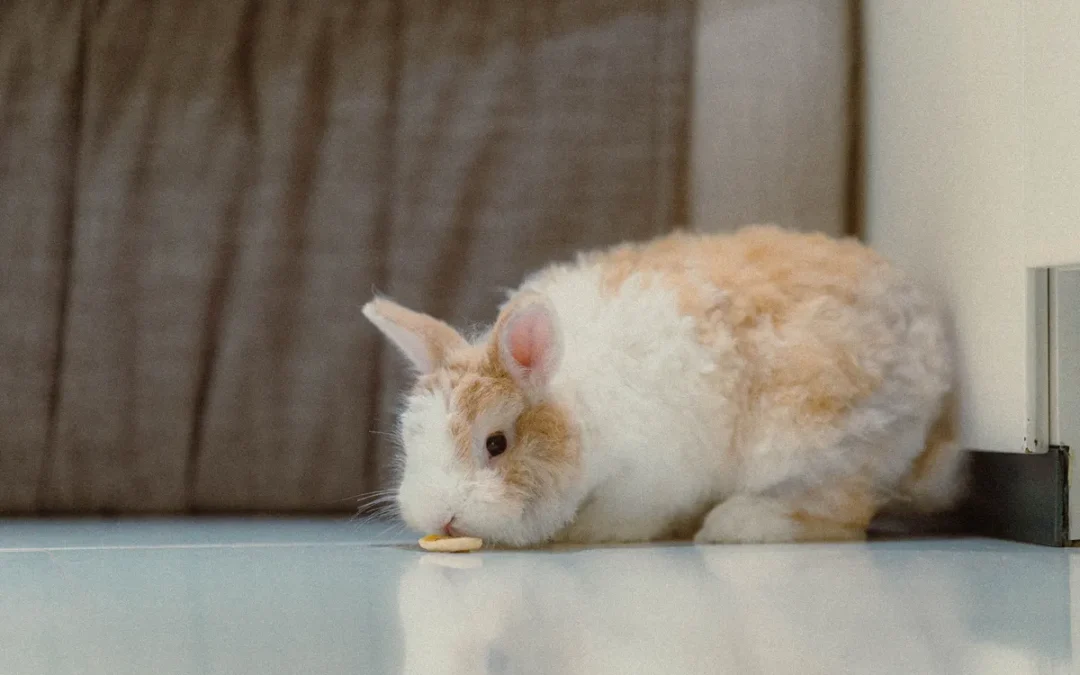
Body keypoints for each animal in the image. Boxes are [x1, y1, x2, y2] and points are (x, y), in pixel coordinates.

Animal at [363, 225, 965, 547]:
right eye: (411, 440)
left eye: (496, 443)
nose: (440, 516)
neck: (582, 413)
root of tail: (932, 351)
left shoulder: (653, 479)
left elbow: (628, 516)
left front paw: (585, 534)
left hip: (821, 440)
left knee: (841, 510)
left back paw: (733, 526)